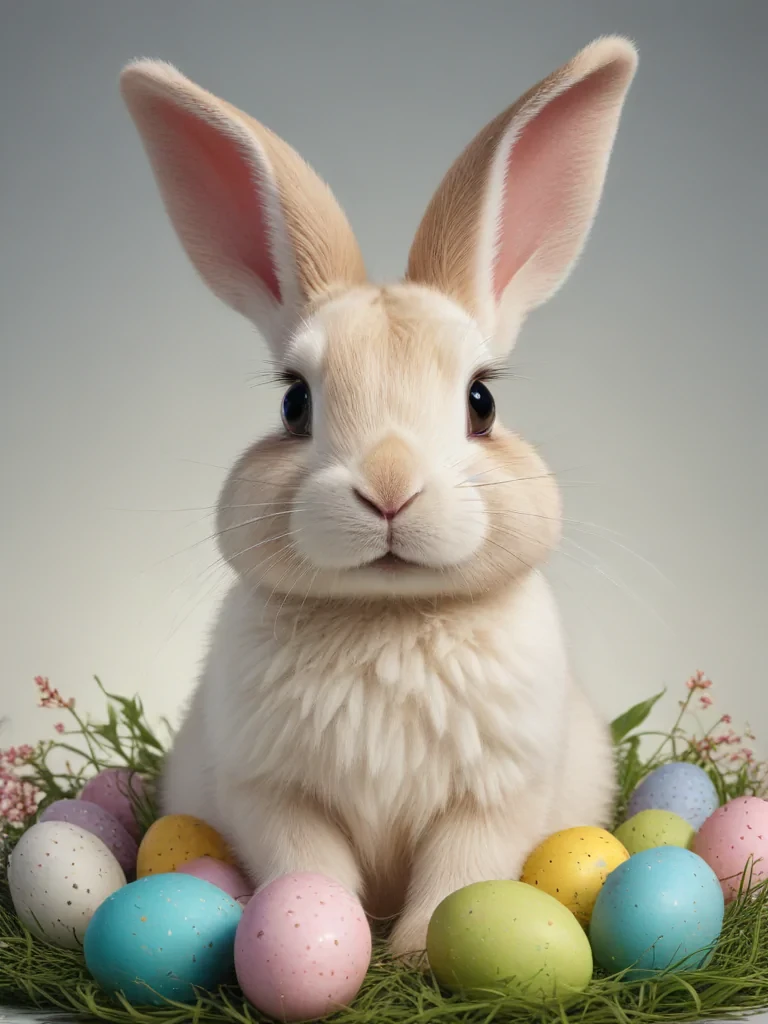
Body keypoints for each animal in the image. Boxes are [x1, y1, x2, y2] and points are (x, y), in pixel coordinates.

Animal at [120, 35, 638, 958]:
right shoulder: (277, 797)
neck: (387, 615)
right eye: (294, 403)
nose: (390, 488)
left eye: (482, 401)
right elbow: (312, 872)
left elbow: (457, 878)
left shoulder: (491, 800)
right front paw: (330, 944)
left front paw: (422, 953)